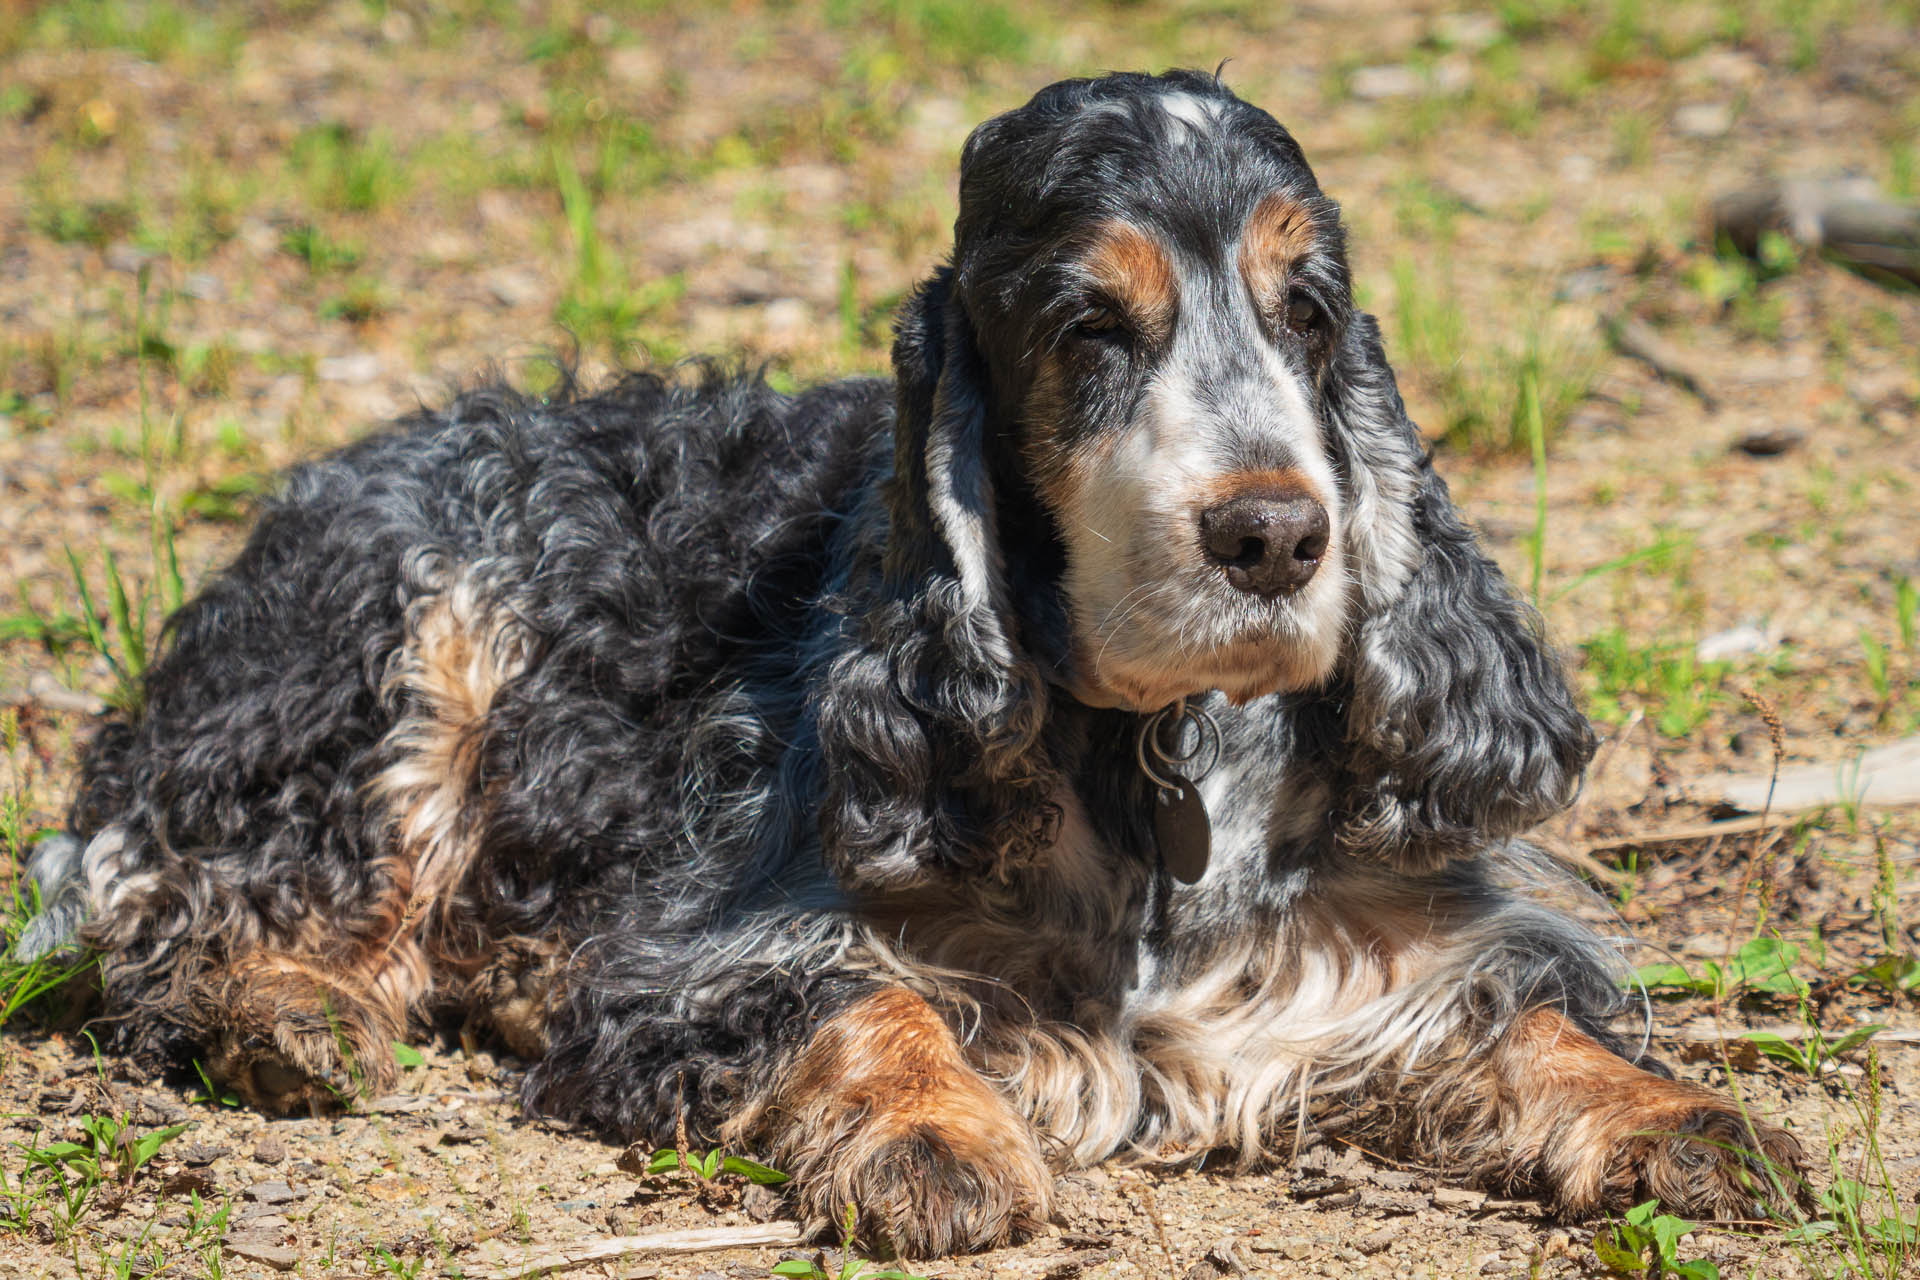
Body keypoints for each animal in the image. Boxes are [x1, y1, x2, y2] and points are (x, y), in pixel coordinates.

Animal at [22, 67, 1804, 1251]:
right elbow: (867, 1002)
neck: (1154, 760)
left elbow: (1536, 1021)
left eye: (1308, 309)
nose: (1278, 536)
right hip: (408, 649)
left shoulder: (1387, 949)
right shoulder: (715, 945)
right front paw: (939, 1142)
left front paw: (1692, 1123)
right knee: (181, 904)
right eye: (1090, 329)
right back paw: (289, 1016)